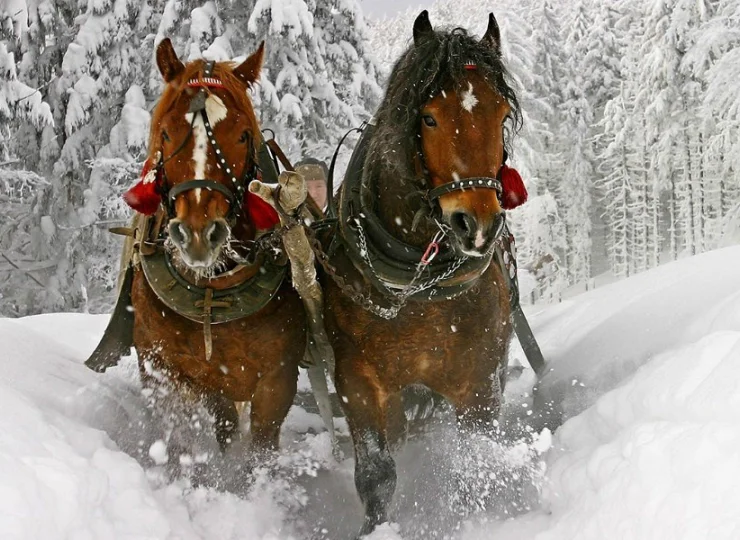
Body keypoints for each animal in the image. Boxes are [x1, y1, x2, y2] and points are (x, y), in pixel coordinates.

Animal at [120, 40, 308, 474]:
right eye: (167, 132)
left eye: (242, 136)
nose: (199, 235)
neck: (212, 291)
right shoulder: (163, 368)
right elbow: (179, 438)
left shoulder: (277, 380)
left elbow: (260, 450)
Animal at [322, 11, 520, 536]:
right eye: (428, 117)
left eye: (501, 116)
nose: (478, 224)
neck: (417, 286)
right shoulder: (357, 381)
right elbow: (376, 475)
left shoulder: (480, 379)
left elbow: (476, 460)